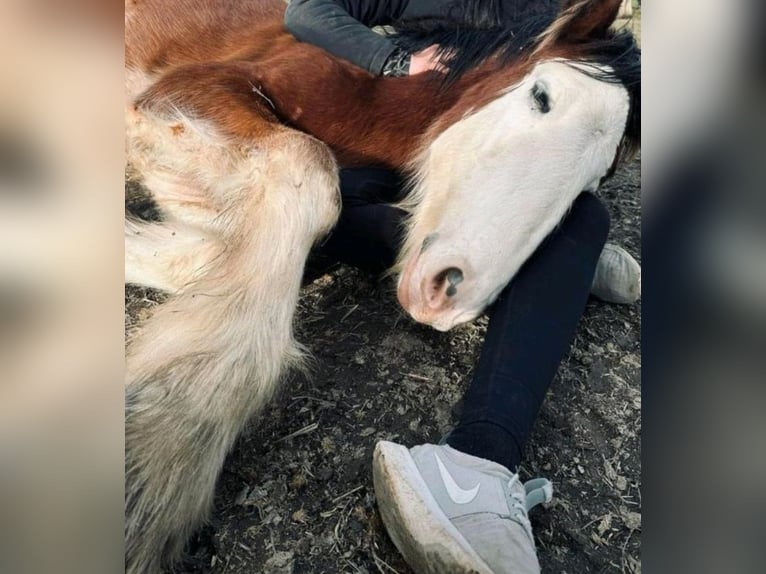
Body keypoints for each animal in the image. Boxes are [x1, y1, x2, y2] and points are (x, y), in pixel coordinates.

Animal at [126, 1, 640, 572]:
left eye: (595, 179)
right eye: (542, 97)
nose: (448, 294)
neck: (378, 94)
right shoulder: (185, 93)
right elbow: (308, 174)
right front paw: (166, 435)